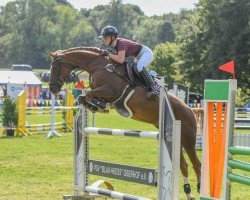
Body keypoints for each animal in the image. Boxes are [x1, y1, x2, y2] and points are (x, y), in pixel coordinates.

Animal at [48, 47, 201, 200]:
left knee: (196, 164)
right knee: (183, 165)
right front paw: (97, 106)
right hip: (174, 139)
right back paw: (189, 194)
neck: (99, 65)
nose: (52, 90)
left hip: (187, 139)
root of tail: (190, 109)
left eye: (55, 67)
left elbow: (90, 94)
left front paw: (101, 105)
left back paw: (199, 189)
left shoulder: (112, 90)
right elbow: (82, 97)